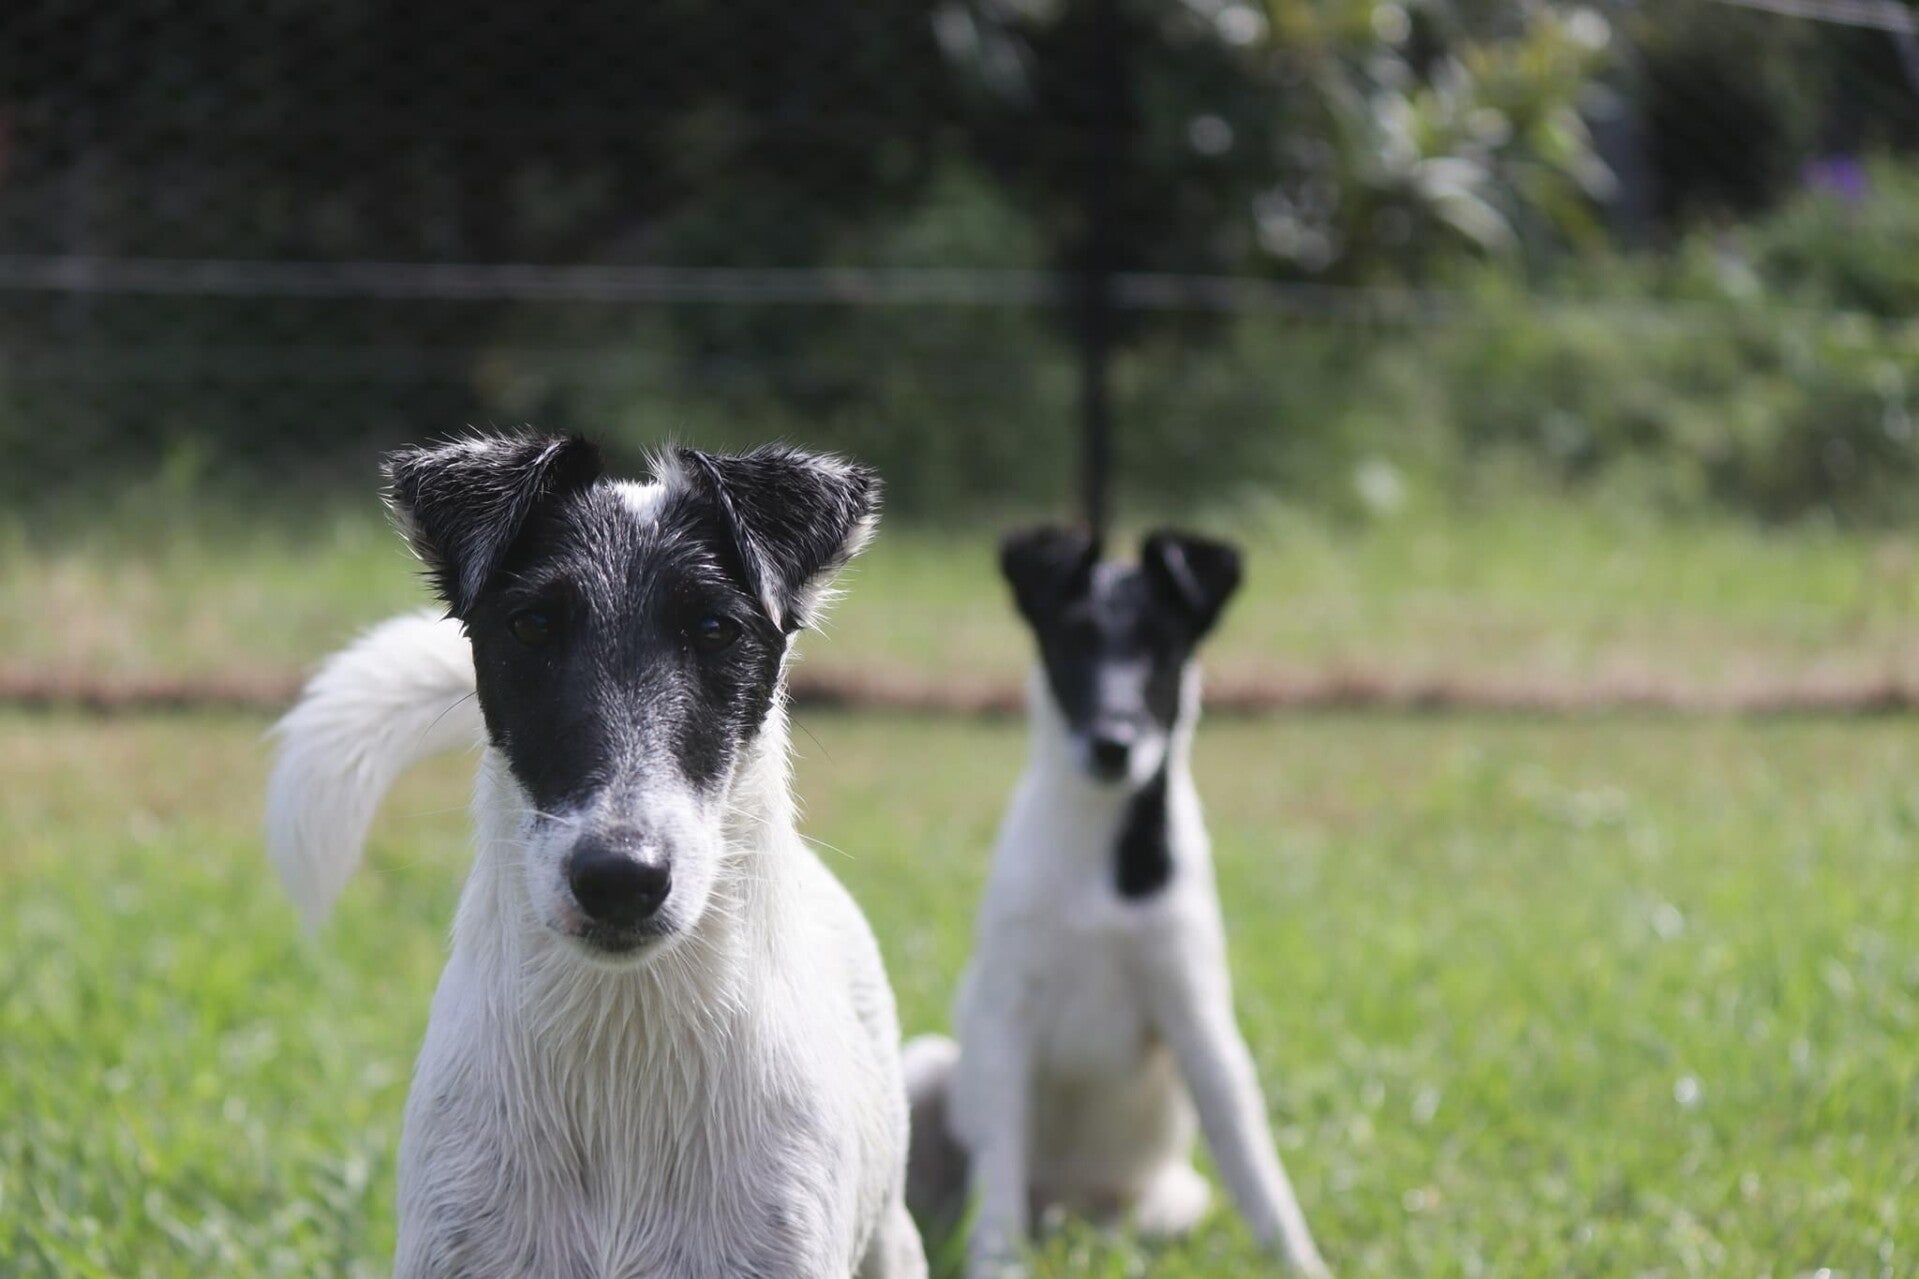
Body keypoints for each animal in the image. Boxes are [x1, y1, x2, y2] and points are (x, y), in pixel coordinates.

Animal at [902, 526, 1328, 1278]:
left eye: (1163, 646)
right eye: (1072, 641)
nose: (1113, 743)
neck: (1098, 861)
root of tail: (1060, 1211)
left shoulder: (1199, 1021)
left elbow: (1256, 1168)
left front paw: (1300, 1261)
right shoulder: (1006, 1018)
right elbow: (997, 1179)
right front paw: (996, 1263)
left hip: (1169, 1203)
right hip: (928, 1068)